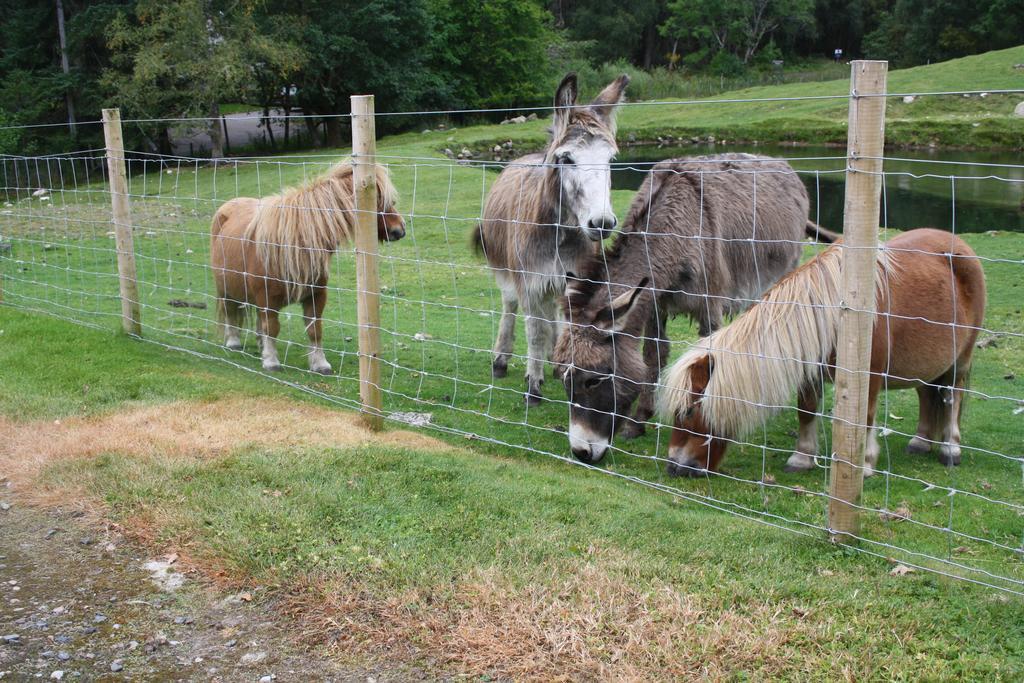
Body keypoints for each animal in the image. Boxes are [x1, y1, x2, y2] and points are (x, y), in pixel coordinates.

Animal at [210, 161, 403, 374]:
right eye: (376, 199)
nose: (399, 229)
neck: (294, 245)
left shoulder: (316, 295)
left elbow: (314, 329)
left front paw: (319, 363)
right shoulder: (267, 297)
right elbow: (272, 327)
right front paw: (271, 361)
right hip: (226, 287)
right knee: (230, 311)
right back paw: (234, 342)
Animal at [473, 73, 630, 405]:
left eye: (611, 159)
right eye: (567, 158)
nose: (602, 223)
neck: (561, 232)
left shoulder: (577, 278)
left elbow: (569, 326)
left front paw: (568, 371)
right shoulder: (530, 282)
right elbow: (534, 331)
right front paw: (533, 387)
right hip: (507, 270)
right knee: (510, 306)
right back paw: (501, 360)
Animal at [659, 228, 987, 475]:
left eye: (689, 411)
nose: (675, 466)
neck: (835, 316)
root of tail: (958, 245)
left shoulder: (867, 377)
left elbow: (865, 417)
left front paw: (865, 464)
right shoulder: (809, 369)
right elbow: (806, 410)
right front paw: (802, 458)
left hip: (961, 359)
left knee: (953, 395)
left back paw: (950, 449)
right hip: (926, 366)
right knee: (927, 395)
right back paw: (920, 443)